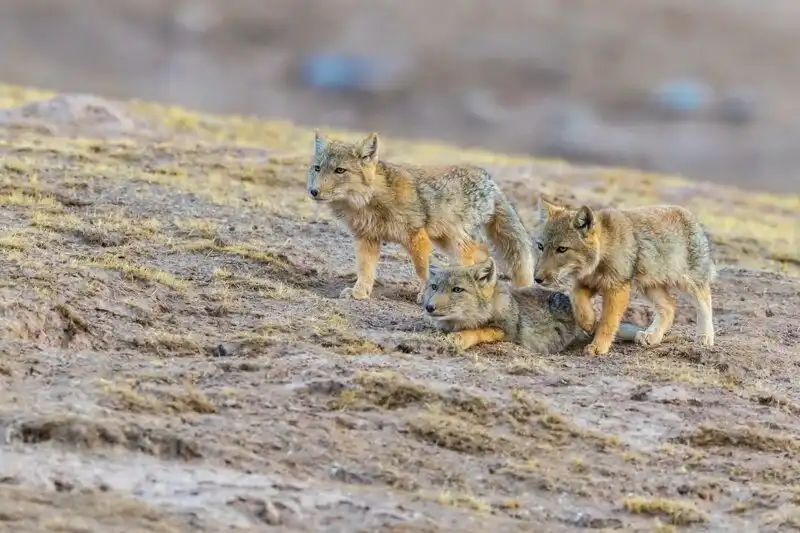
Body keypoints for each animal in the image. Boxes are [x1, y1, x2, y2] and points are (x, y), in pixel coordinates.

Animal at [307, 130, 534, 302]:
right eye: (317, 168)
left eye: (339, 170)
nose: (313, 191)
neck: (369, 201)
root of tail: (488, 177)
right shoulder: (367, 239)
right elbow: (365, 270)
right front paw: (359, 293)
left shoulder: (416, 237)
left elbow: (422, 270)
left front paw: (426, 293)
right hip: (445, 240)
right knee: (483, 258)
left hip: (457, 243)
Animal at [420, 256, 644, 353]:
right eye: (434, 287)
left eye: (457, 290)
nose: (429, 307)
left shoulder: (507, 331)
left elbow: (479, 331)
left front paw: (460, 337)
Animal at [532, 197, 716, 357]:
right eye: (541, 246)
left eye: (562, 249)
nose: (537, 278)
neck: (604, 249)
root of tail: (687, 213)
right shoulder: (587, 283)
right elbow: (577, 300)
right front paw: (589, 321)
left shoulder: (617, 288)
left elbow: (608, 321)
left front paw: (598, 346)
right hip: (647, 287)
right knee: (670, 306)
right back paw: (653, 336)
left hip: (687, 283)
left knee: (705, 302)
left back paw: (705, 336)